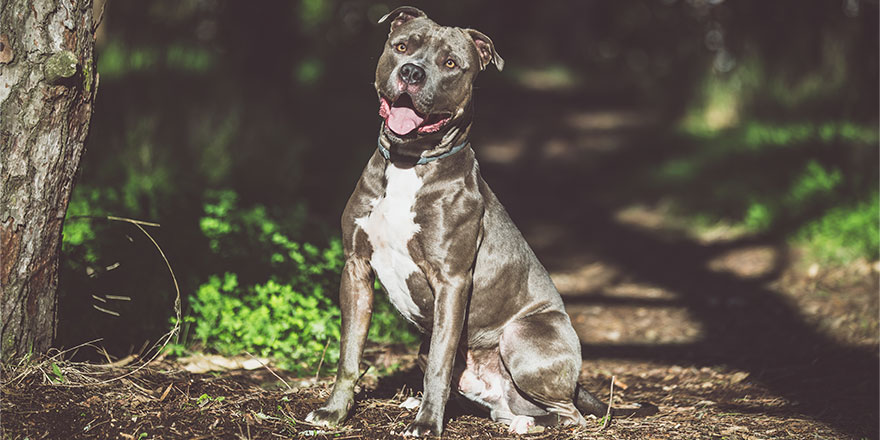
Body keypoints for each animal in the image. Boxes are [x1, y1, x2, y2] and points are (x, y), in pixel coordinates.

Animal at [304, 6, 652, 436]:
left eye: (450, 64)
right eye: (402, 47)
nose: (412, 72)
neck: (408, 162)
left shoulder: (451, 280)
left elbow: (439, 364)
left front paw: (427, 424)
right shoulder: (356, 268)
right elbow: (349, 354)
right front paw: (334, 412)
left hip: (522, 335)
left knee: (573, 415)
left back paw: (525, 422)